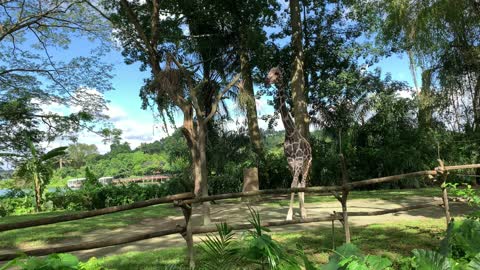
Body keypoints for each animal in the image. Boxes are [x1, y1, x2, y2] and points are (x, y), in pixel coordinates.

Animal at [264, 66, 314, 220]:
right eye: (268, 71)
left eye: (277, 73)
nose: (267, 80)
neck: (290, 133)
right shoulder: (290, 162)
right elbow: (293, 185)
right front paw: (292, 214)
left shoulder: (298, 160)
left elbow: (294, 185)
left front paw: (291, 215)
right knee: (299, 183)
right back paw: (302, 210)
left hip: (307, 162)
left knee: (303, 183)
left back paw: (304, 212)